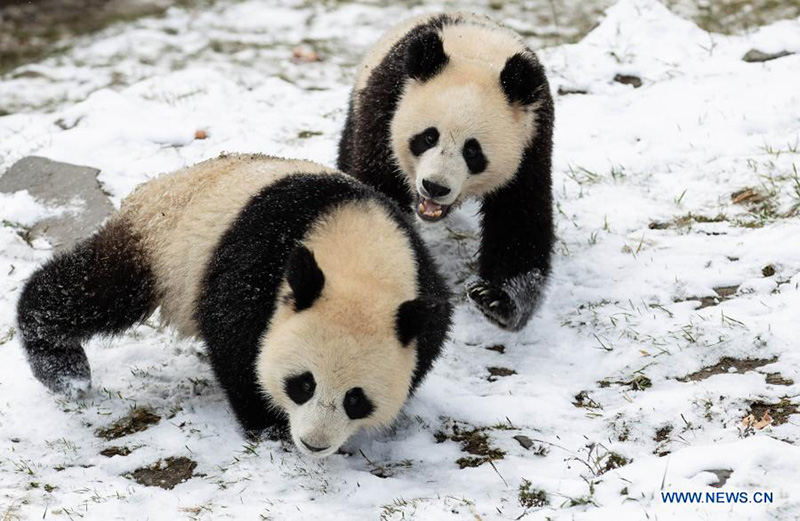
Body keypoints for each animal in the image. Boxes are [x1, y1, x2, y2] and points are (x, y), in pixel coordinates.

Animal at [17, 152, 450, 458]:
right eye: (303, 384)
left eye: (355, 399)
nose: (314, 443)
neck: (361, 254)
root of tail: (156, 184)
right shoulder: (259, 264)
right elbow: (238, 348)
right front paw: (269, 427)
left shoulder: (422, 291)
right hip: (162, 244)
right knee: (91, 290)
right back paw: (62, 367)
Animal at [340, 13, 556, 334]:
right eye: (428, 137)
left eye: (473, 151)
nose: (435, 187)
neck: (477, 52)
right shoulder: (385, 108)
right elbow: (378, 190)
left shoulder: (532, 139)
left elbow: (519, 217)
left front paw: (497, 300)